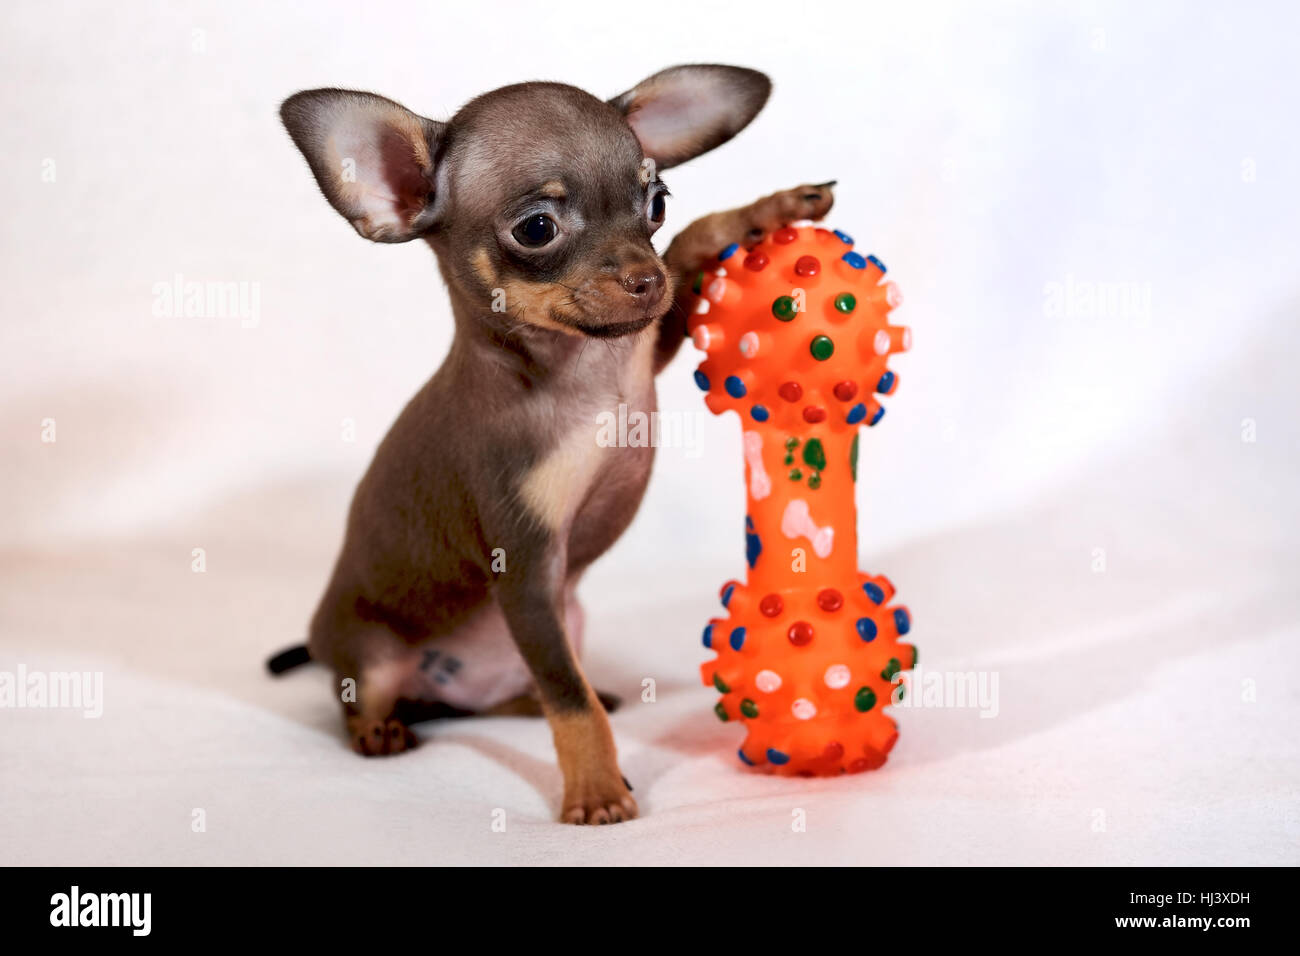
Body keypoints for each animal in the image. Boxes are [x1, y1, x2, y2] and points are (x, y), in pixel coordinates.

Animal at [271, 63, 832, 822]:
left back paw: (515, 702)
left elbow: (696, 240)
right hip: (383, 653)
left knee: (517, 689)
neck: (583, 370)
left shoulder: (650, 343)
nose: (646, 279)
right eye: (537, 229)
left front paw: (772, 205)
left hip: (566, 620)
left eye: (656, 201)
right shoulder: (528, 568)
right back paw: (379, 730)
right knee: (366, 698)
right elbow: (572, 700)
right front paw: (595, 791)